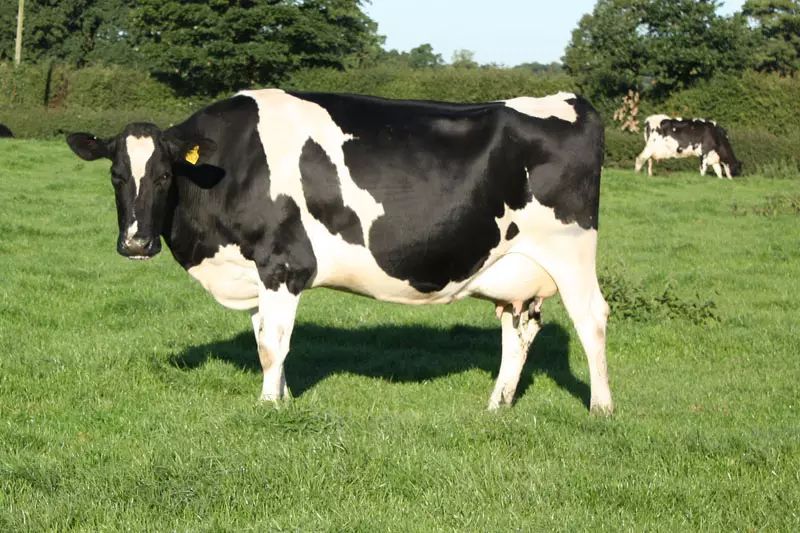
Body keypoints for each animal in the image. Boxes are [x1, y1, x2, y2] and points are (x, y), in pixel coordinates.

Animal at [66, 89, 613, 414]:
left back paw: (601, 408)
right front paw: (283, 398)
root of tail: (567, 99)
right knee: (519, 329)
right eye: (116, 175)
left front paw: (268, 407)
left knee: (592, 320)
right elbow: (266, 337)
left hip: (571, 252)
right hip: (516, 267)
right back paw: (498, 405)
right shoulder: (259, 271)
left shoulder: (283, 262)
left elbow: (273, 343)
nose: (136, 242)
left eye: (163, 175)